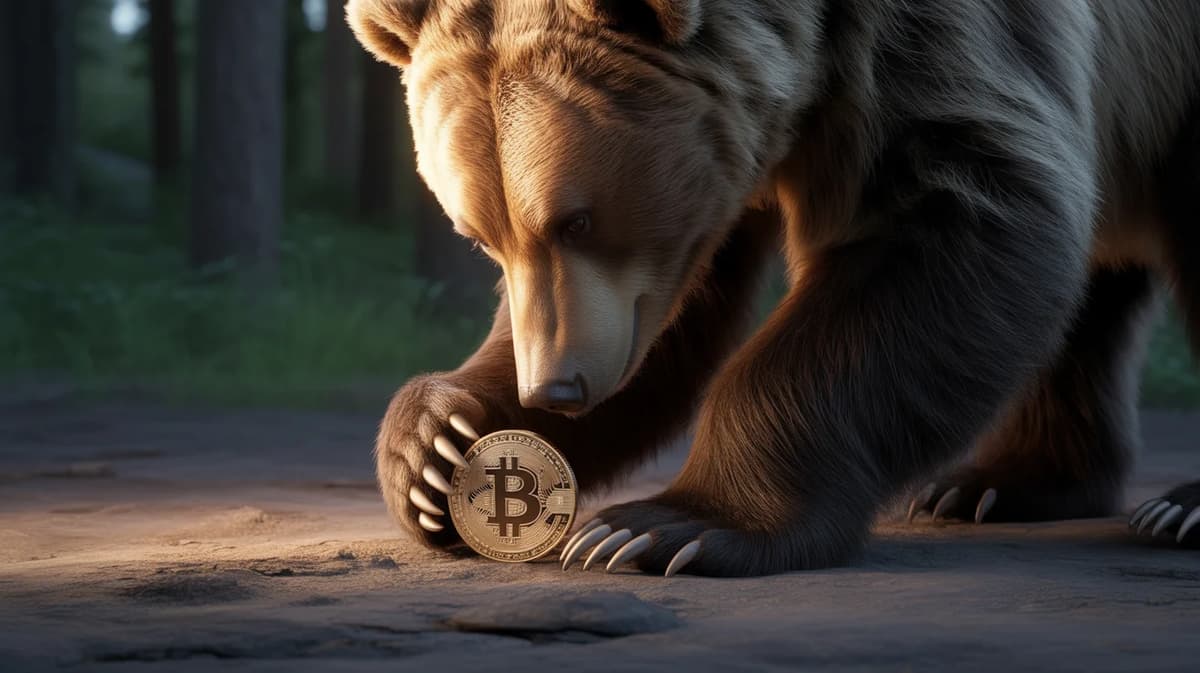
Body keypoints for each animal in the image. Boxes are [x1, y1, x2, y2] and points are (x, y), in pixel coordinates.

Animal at [346, 0, 1200, 576]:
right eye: (481, 233)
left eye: (576, 220)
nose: (553, 388)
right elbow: (677, 319)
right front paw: (437, 447)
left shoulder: (933, 54)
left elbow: (951, 217)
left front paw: (659, 528)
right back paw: (998, 483)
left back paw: (1174, 507)